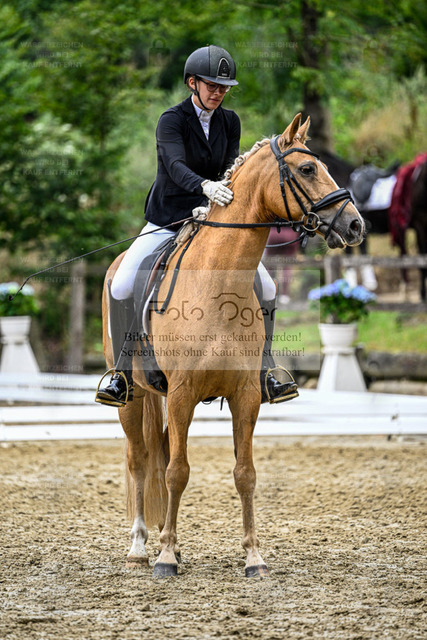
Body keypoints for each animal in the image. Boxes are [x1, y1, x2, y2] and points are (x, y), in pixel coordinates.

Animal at [101, 113, 365, 579]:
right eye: (307, 169)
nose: (355, 226)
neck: (217, 284)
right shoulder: (183, 393)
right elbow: (177, 472)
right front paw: (165, 559)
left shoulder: (245, 395)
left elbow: (245, 474)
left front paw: (253, 558)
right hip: (134, 397)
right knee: (139, 460)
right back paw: (140, 547)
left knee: (158, 454)